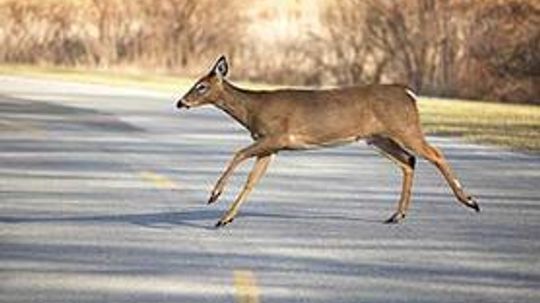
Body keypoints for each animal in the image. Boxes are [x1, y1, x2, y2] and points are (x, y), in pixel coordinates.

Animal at [175, 56, 478, 228]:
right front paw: (225, 218)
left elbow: (238, 153)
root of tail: (408, 94)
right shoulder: (271, 147)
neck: (252, 110)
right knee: (409, 161)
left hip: (404, 127)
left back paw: (470, 201)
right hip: (377, 138)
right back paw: (397, 215)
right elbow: (252, 181)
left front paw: (214, 196)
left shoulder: (276, 136)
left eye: (201, 86)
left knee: (434, 154)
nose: (180, 102)